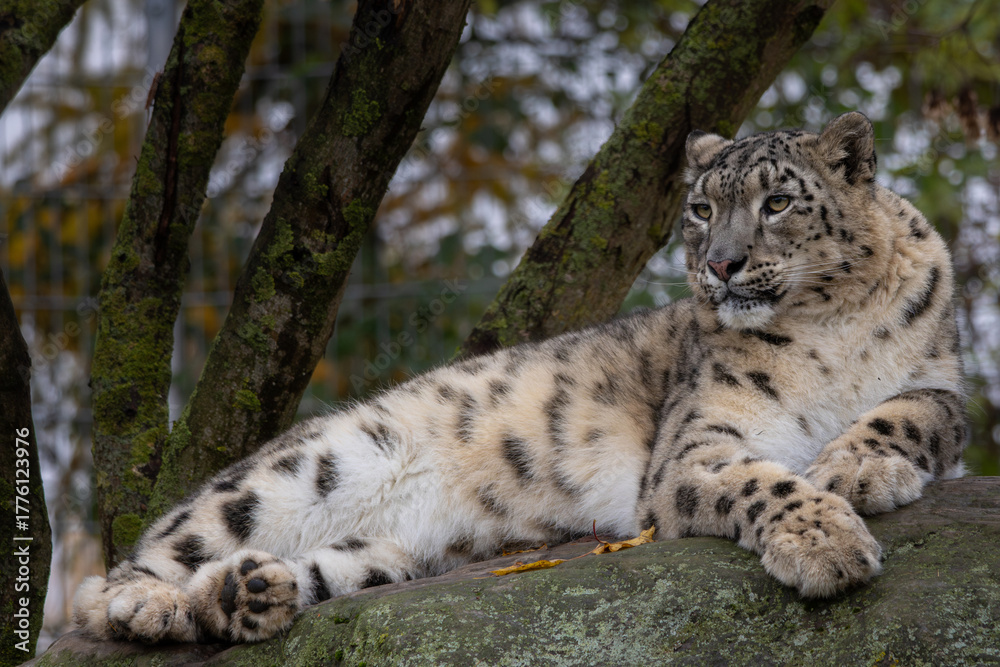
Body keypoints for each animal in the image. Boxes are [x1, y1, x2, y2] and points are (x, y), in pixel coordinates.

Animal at [73, 111, 966, 644]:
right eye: (703, 208)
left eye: (777, 202)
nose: (721, 264)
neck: (827, 324)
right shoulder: (696, 444)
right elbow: (762, 479)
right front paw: (828, 542)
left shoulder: (945, 383)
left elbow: (909, 414)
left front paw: (858, 466)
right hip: (304, 470)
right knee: (129, 565)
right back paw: (152, 605)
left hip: (381, 555)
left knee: (316, 566)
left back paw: (249, 594)